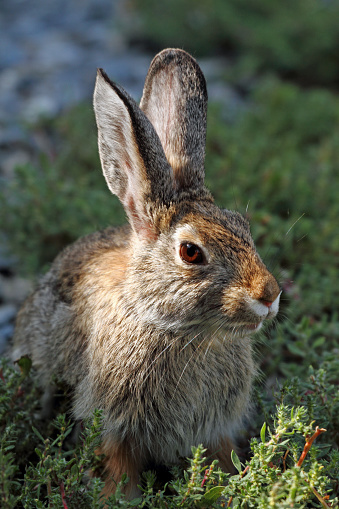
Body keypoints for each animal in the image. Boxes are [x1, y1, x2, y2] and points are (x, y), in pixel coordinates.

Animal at [12, 48, 282, 496]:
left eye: (242, 226)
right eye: (190, 252)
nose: (269, 295)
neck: (178, 331)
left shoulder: (215, 428)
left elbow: (221, 455)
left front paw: (232, 482)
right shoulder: (115, 426)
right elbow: (119, 467)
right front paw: (117, 499)